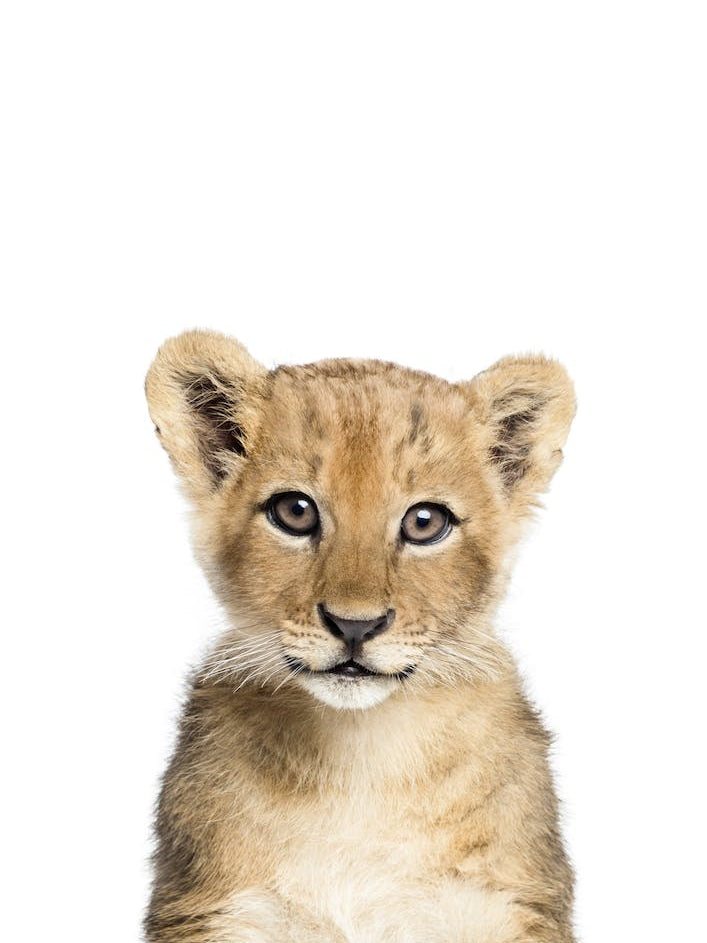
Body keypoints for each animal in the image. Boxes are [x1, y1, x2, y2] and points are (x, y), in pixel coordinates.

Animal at [143, 329, 577, 942]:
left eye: (425, 522)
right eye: (294, 511)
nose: (355, 625)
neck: (361, 760)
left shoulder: (510, 905)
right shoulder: (216, 909)